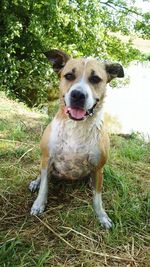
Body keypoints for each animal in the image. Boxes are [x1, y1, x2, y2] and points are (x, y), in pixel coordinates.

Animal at [29, 50, 124, 230]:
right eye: (69, 76)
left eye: (95, 79)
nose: (78, 95)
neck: (76, 126)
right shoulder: (47, 158)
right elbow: (44, 186)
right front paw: (38, 204)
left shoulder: (98, 168)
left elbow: (97, 197)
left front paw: (101, 216)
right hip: (44, 163)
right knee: (42, 175)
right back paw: (35, 182)